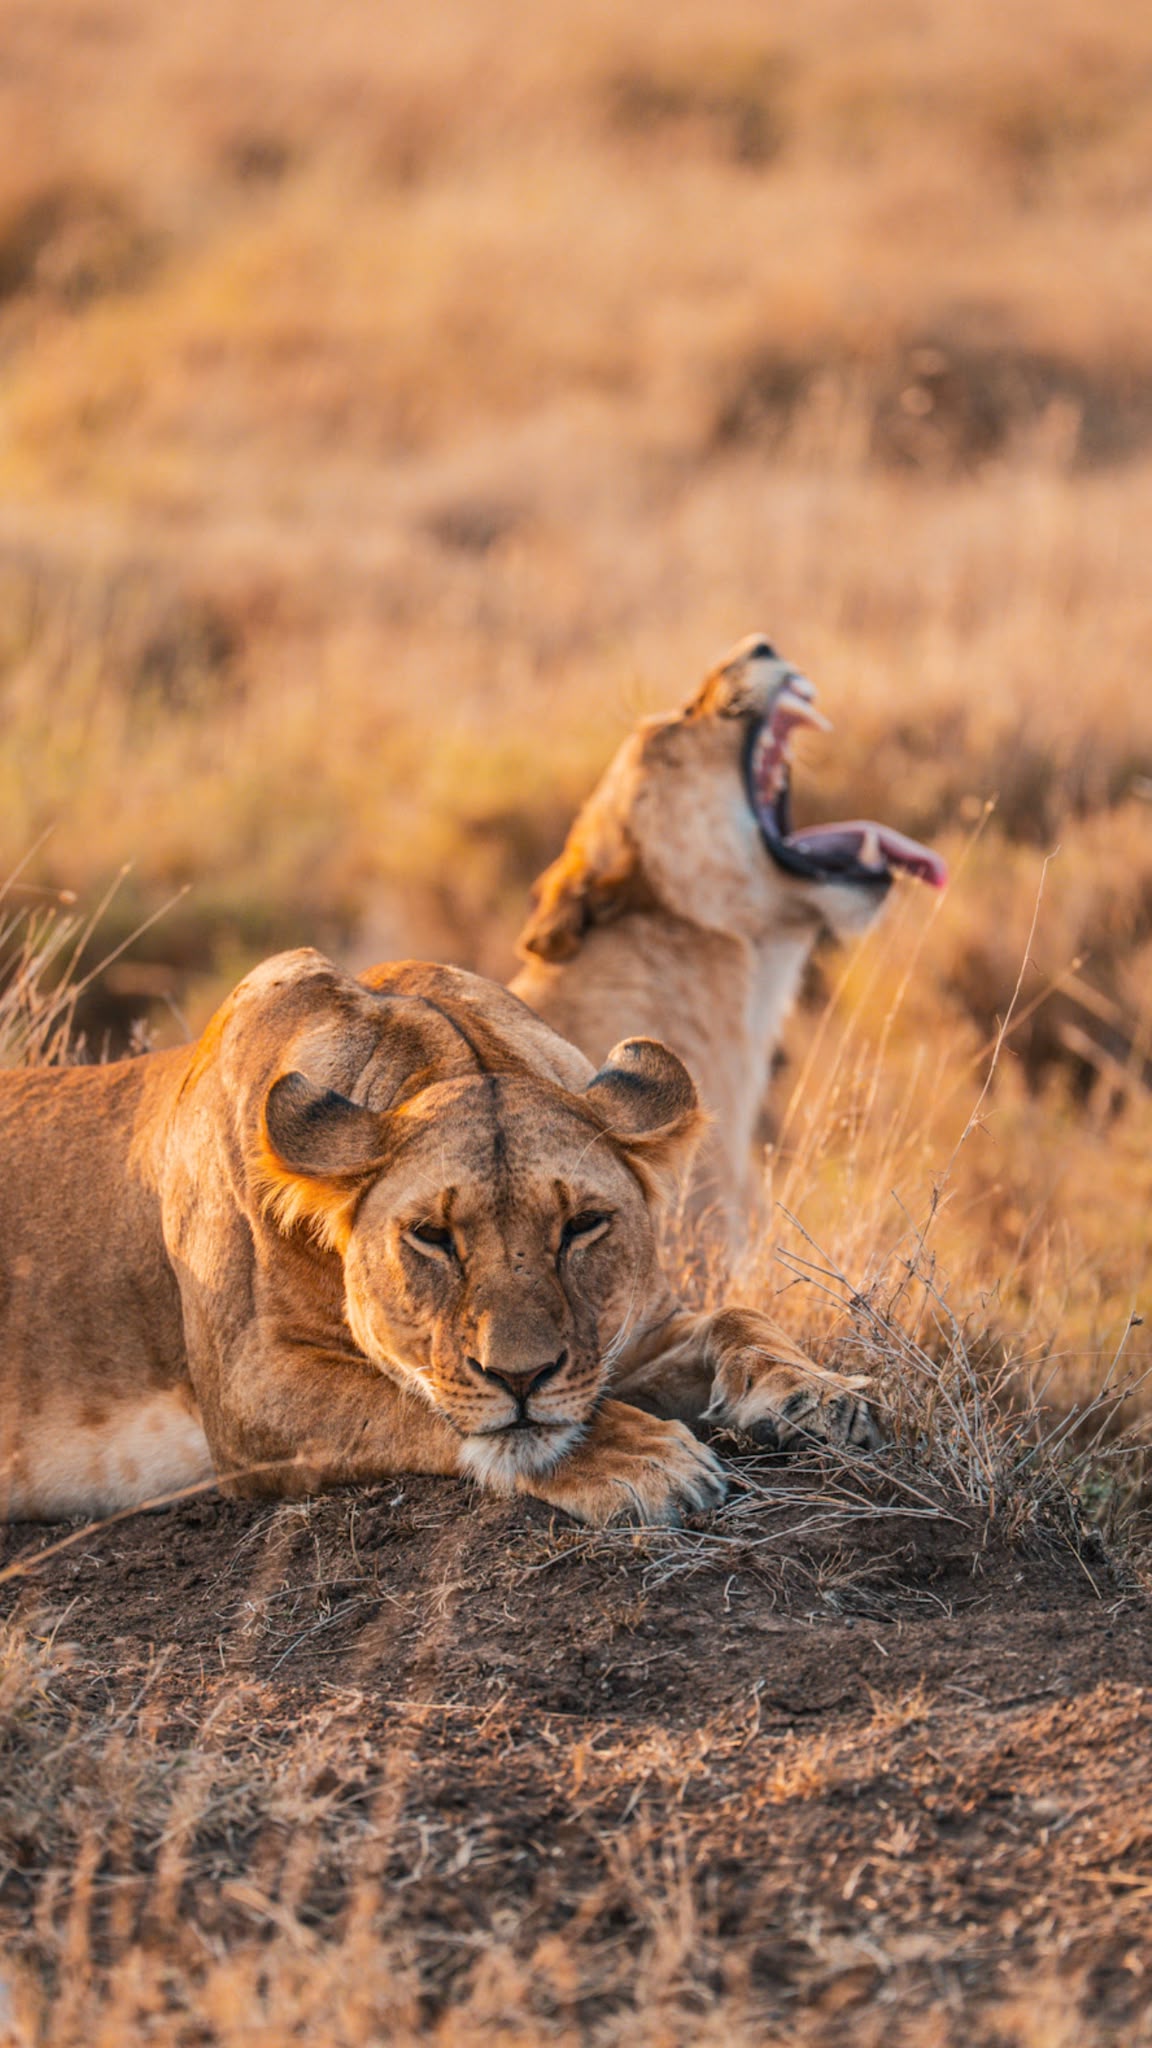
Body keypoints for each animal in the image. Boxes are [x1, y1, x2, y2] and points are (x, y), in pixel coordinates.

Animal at [0, 949, 877, 1526]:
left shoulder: (622, 1334)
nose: (521, 1376)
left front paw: (820, 1392)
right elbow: (425, 1403)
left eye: (581, 1226)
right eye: (431, 1238)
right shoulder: (250, 1393)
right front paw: (640, 1459)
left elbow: (738, 1318)